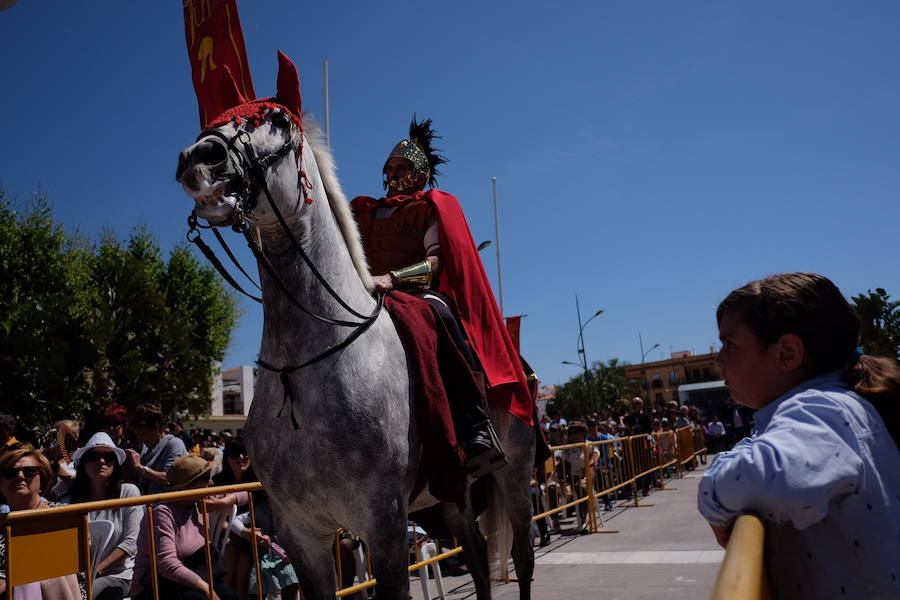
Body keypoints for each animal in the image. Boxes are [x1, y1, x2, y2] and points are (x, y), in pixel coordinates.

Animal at [179, 52, 536, 600]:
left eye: (276, 120)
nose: (200, 158)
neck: (308, 365)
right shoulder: (302, 532)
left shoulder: (384, 524)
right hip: (451, 490)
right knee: (476, 553)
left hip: (514, 471)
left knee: (520, 553)